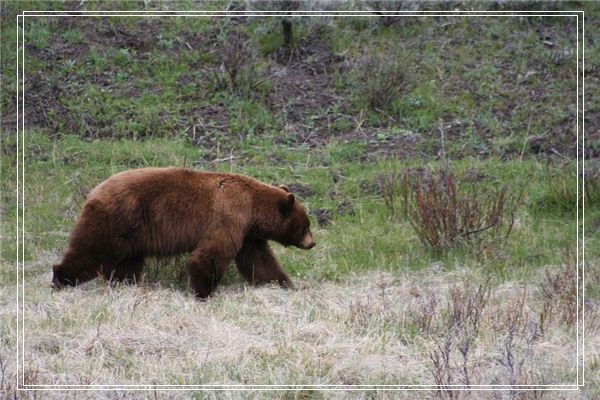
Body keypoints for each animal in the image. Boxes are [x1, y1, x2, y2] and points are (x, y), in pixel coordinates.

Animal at [51, 167, 314, 298]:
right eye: (305, 225)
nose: (312, 244)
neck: (252, 207)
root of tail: (94, 191)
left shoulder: (249, 234)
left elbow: (259, 261)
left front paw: (284, 285)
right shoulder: (230, 216)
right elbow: (210, 253)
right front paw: (203, 292)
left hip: (131, 235)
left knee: (127, 264)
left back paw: (125, 285)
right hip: (115, 221)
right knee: (91, 252)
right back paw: (60, 280)